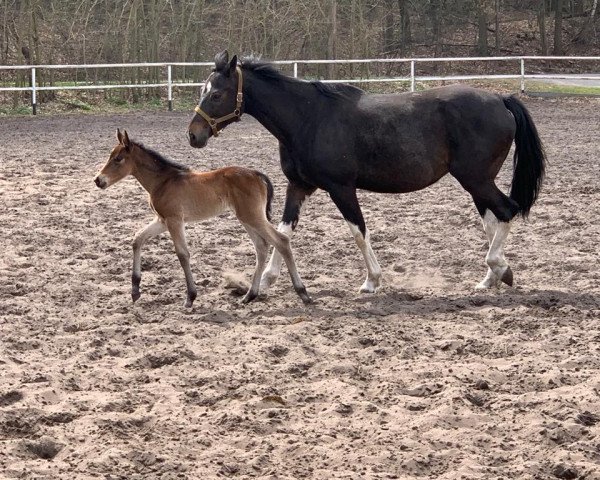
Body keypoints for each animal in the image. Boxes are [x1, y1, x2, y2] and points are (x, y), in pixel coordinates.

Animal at [95, 128, 310, 308]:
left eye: (118, 159)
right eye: (110, 156)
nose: (98, 180)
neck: (164, 181)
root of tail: (258, 175)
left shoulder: (174, 220)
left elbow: (182, 254)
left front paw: (190, 297)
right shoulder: (162, 220)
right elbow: (138, 239)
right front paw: (135, 290)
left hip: (252, 216)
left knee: (281, 240)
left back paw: (303, 293)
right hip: (246, 217)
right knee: (262, 247)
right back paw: (249, 295)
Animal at [190, 51, 548, 292]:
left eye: (217, 93)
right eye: (202, 90)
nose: (193, 134)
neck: (308, 118)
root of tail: (500, 99)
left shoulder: (341, 188)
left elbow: (358, 231)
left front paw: (372, 281)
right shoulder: (299, 186)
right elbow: (284, 231)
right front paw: (266, 280)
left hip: (476, 179)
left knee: (507, 211)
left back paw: (499, 267)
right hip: (477, 183)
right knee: (493, 220)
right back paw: (491, 278)